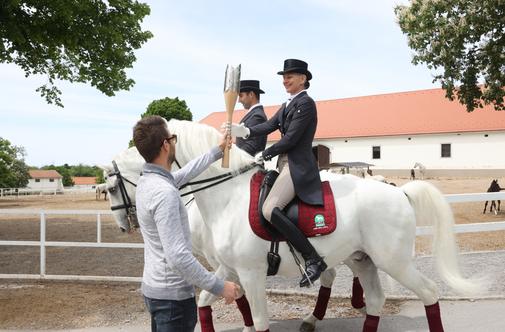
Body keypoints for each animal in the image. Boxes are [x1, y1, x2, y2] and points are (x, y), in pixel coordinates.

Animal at [103, 120, 484, 332]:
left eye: (111, 184)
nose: (124, 224)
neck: (226, 194)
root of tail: (399, 191)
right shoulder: (226, 268)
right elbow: (206, 303)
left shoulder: (251, 272)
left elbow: (259, 321)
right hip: (362, 259)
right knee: (375, 299)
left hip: (395, 262)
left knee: (429, 294)